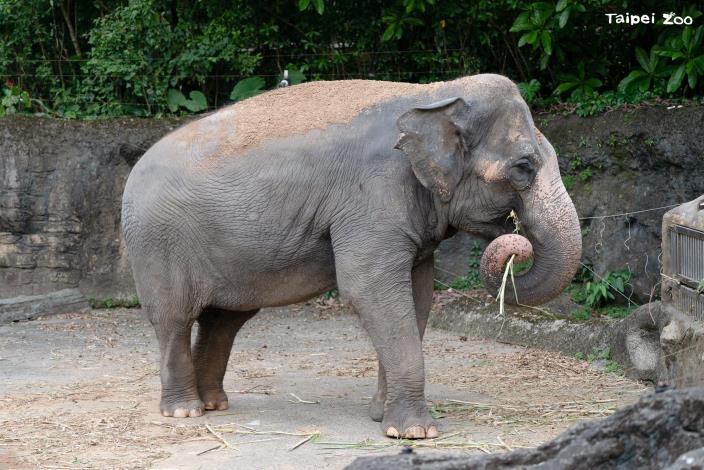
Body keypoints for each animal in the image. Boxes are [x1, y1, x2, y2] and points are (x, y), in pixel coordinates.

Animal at [121, 74, 581, 439]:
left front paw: (381, 417)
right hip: (157, 244)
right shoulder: (373, 197)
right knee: (174, 318)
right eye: (523, 167)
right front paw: (414, 433)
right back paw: (185, 411)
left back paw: (215, 403)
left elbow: (418, 297)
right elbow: (369, 289)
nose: (515, 243)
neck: (433, 93)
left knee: (224, 320)